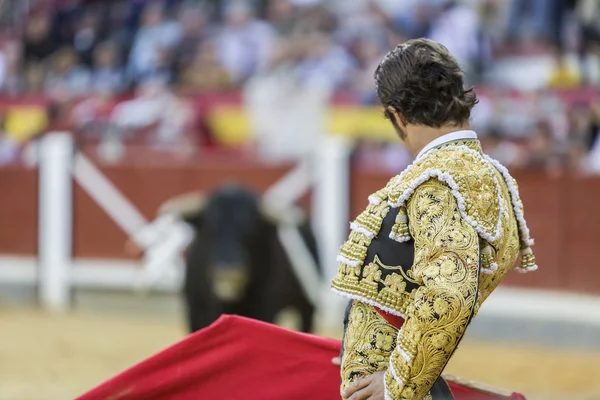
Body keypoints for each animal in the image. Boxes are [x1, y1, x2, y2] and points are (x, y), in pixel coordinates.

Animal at [177, 186, 322, 332]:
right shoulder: (194, 313)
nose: (229, 274)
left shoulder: (265, 310)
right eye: (210, 229)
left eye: (252, 231)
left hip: (307, 308)